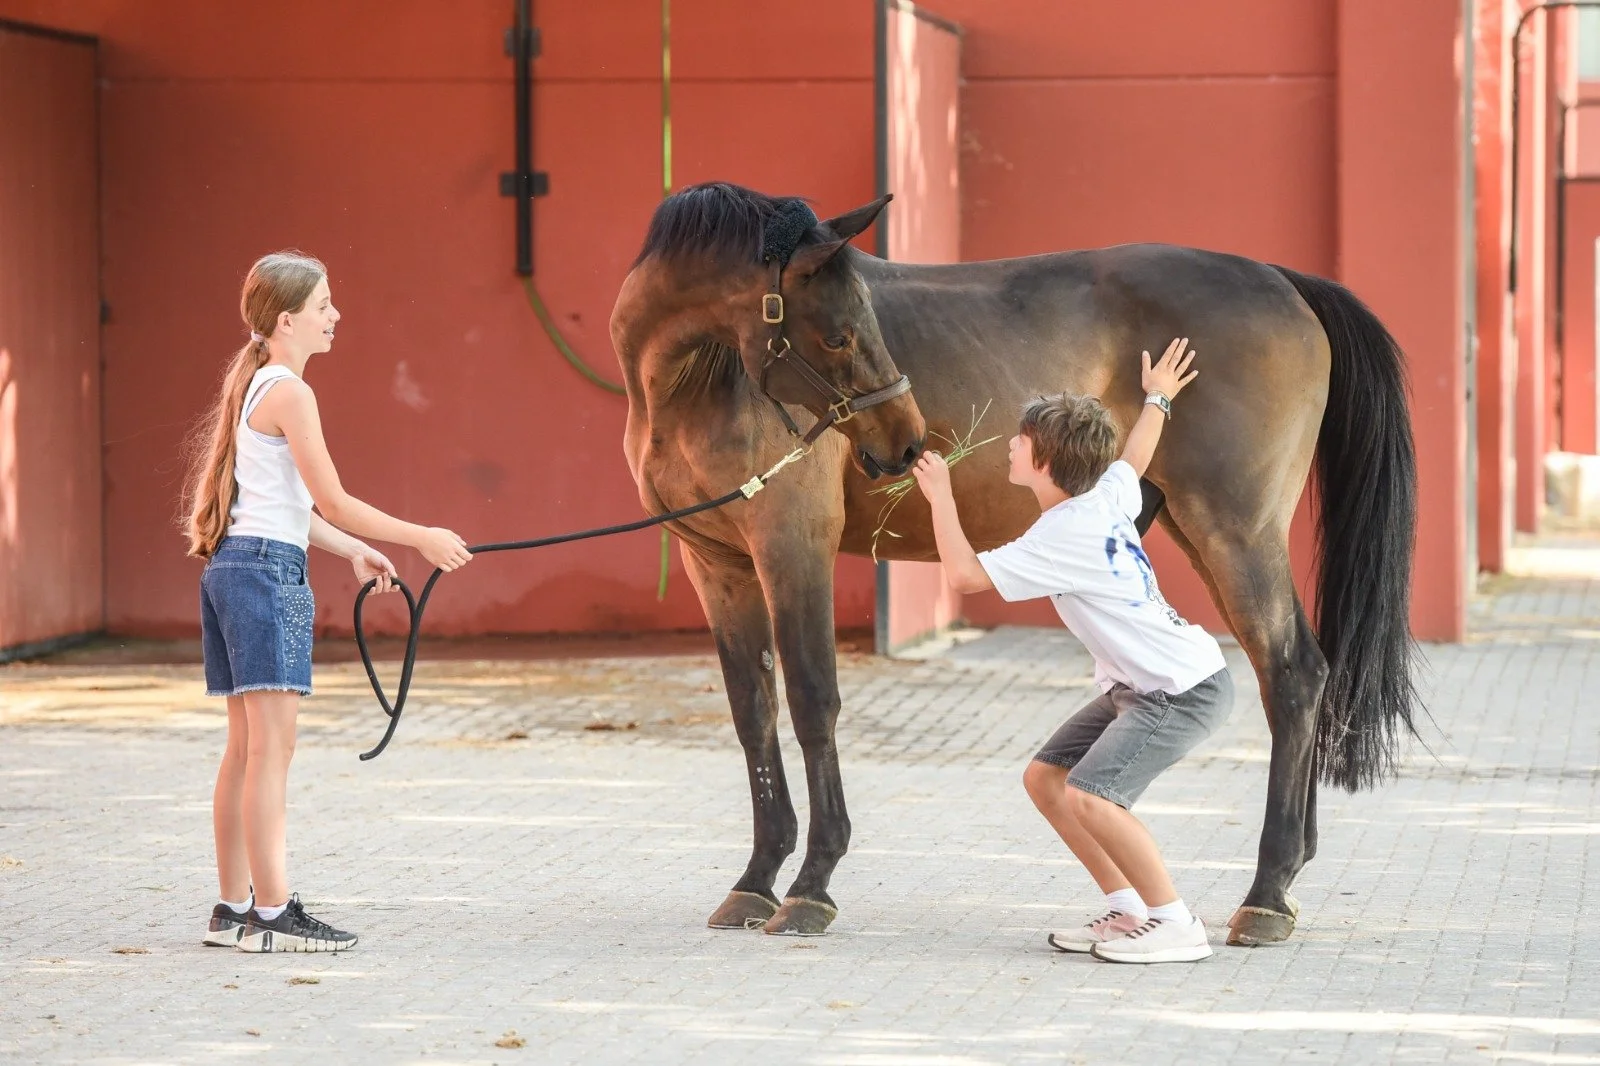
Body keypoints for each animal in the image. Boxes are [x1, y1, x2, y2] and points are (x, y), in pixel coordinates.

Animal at [608, 181, 1418, 944]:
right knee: (1300, 674)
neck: (697, 385)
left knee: (1292, 673)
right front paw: (754, 882)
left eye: (858, 326)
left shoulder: (791, 547)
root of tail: (1283, 280)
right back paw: (1288, 877)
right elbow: (753, 712)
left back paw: (1267, 894)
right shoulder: (717, 564)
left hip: (1235, 531)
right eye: (839, 335)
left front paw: (811, 886)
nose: (907, 442)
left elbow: (812, 703)